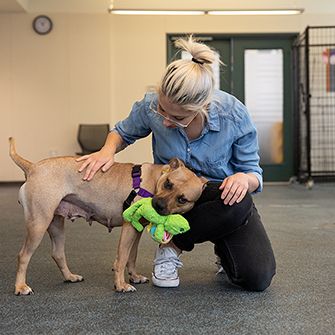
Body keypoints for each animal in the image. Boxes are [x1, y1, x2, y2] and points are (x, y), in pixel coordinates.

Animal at [8, 138, 207, 296]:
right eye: (168, 184)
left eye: (182, 199)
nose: (157, 206)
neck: (155, 178)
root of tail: (33, 167)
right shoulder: (128, 228)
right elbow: (122, 258)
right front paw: (120, 285)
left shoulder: (136, 231)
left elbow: (132, 257)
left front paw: (134, 276)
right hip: (38, 224)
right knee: (23, 256)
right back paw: (21, 286)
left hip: (56, 225)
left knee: (57, 253)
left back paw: (70, 277)